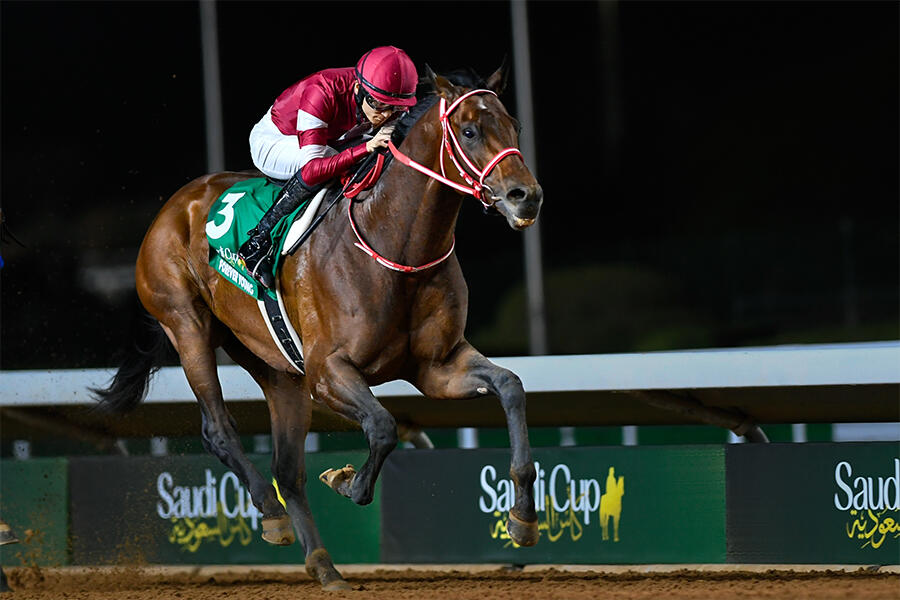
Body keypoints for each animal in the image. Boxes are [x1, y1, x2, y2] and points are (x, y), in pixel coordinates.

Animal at [94, 65, 543, 590]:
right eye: (469, 131)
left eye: (514, 125)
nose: (525, 197)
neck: (396, 244)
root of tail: (173, 205)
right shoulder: (328, 372)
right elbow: (383, 427)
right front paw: (346, 481)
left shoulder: (438, 367)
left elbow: (510, 387)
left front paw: (523, 519)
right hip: (187, 327)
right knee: (218, 430)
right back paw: (272, 515)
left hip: (275, 366)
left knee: (288, 468)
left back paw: (324, 564)